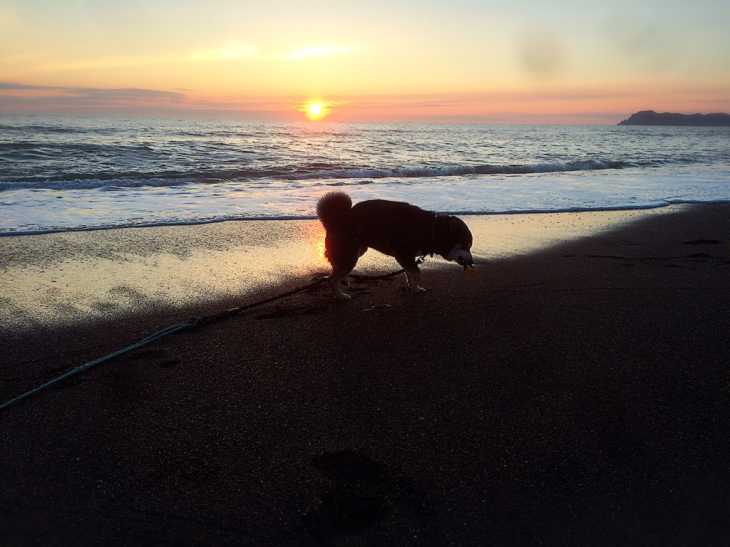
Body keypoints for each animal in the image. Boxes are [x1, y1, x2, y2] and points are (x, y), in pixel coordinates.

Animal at [312, 192, 472, 300]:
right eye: (465, 245)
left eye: (469, 247)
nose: (472, 262)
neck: (432, 230)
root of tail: (335, 220)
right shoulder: (403, 254)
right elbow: (417, 273)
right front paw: (414, 287)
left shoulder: (408, 258)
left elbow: (410, 273)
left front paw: (414, 287)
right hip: (350, 255)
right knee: (332, 279)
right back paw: (340, 295)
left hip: (356, 251)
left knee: (335, 266)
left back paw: (343, 279)